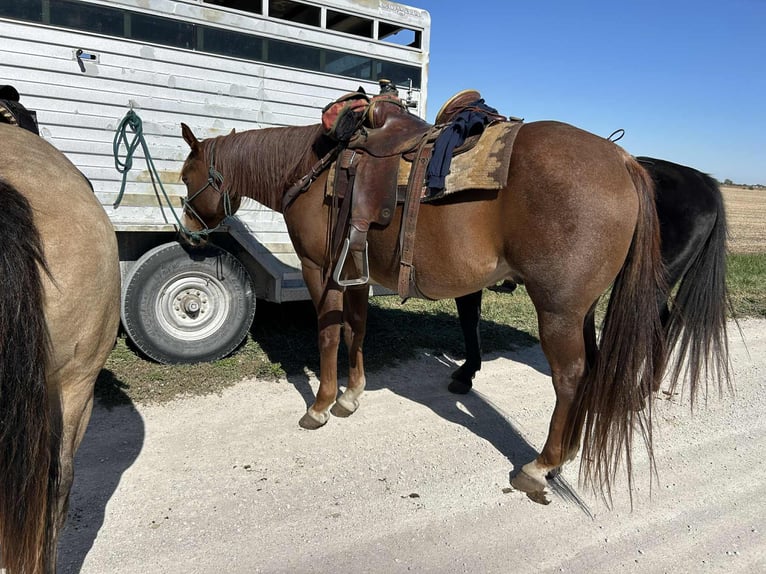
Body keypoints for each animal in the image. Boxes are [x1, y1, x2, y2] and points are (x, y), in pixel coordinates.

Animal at [179, 118, 669, 501]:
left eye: (186, 177)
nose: (186, 233)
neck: (312, 171)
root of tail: (623, 160)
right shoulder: (356, 271)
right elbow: (357, 330)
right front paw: (351, 395)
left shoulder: (321, 270)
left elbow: (328, 334)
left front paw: (320, 405)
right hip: (582, 310)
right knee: (592, 368)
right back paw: (566, 452)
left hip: (558, 311)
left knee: (570, 378)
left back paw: (540, 466)